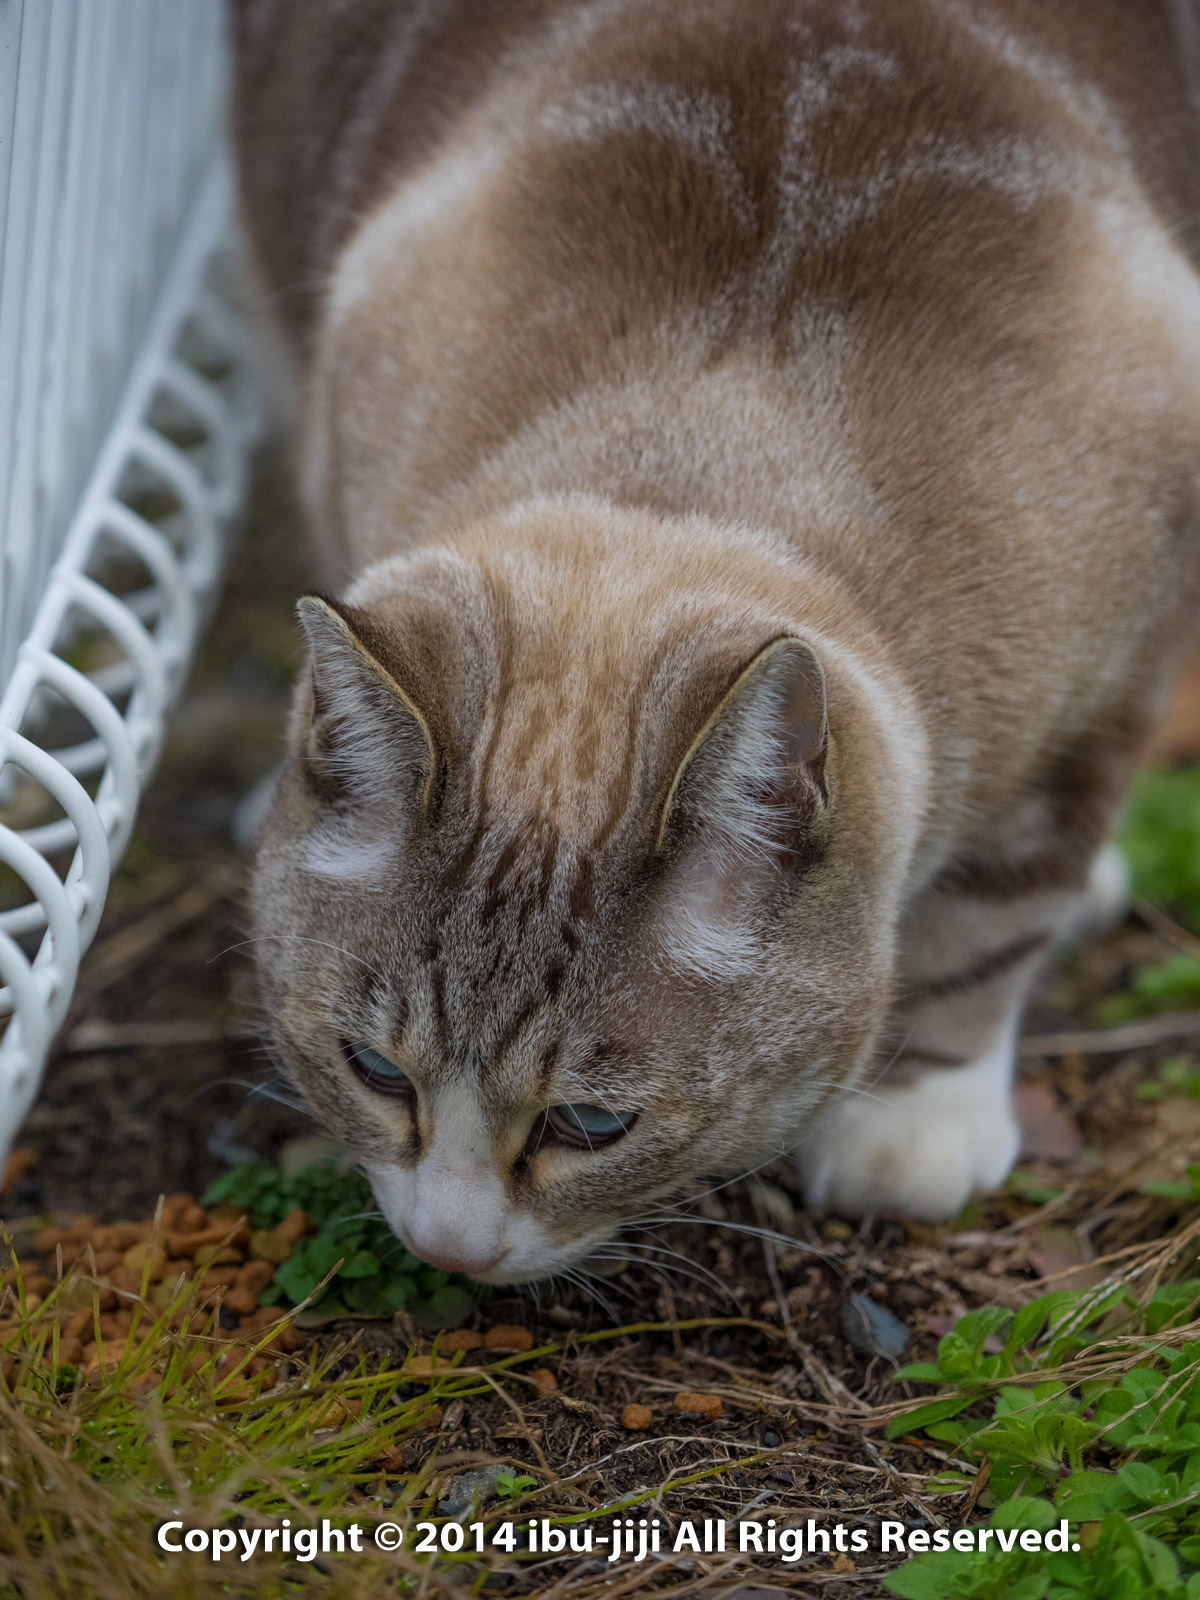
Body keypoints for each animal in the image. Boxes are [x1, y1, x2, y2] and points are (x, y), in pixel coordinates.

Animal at [235, 0, 1200, 1280]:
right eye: (375, 1070)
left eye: (592, 1124)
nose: (449, 1253)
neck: (714, 431)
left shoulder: (1113, 682)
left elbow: (994, 917)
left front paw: (913, 1120)